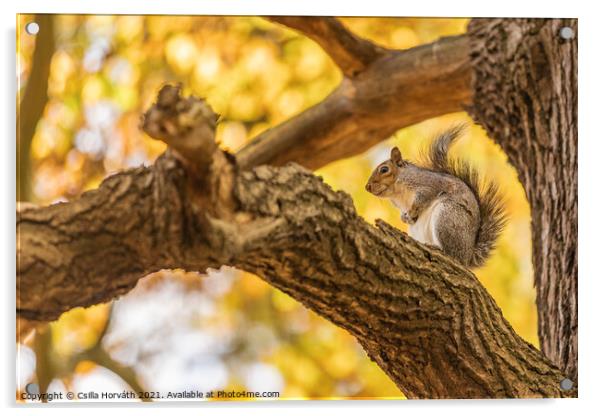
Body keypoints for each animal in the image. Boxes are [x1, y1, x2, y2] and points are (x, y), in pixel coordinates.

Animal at [364, 123, 504, 268]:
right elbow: (404, 212)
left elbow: (422, 199)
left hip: (448, 216)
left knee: (453, 254)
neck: (397, 193)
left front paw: (412, 212)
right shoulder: (401, 205)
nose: (367, 187)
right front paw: (404, 217)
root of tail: (468, 256)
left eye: (384, 169)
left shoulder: (428, 186)